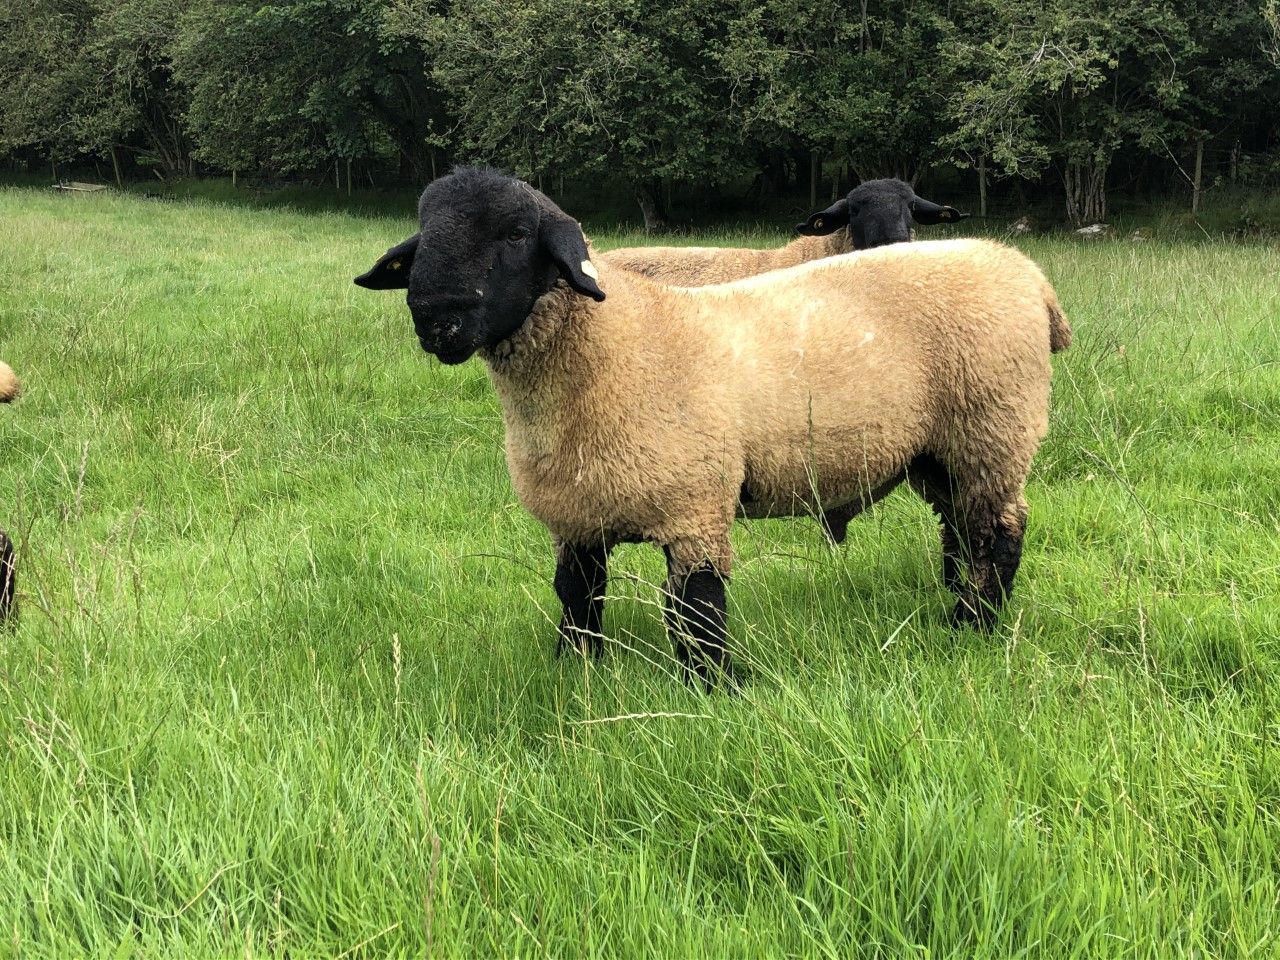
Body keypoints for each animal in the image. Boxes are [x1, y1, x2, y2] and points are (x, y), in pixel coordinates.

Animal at [354, 167, 1062, 689]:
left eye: (517, 231)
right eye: (425, 231)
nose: (435, 315)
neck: (616, 344)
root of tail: (1025, 271)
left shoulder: (695, 505)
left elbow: (696, 611)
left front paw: (712, 690)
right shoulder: (578, 518)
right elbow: (577, 598)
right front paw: (576, 672)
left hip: (993, 427)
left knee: (1000, 534)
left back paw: (973, 624)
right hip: (939, 450)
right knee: (961, 527)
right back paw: (957, 607)